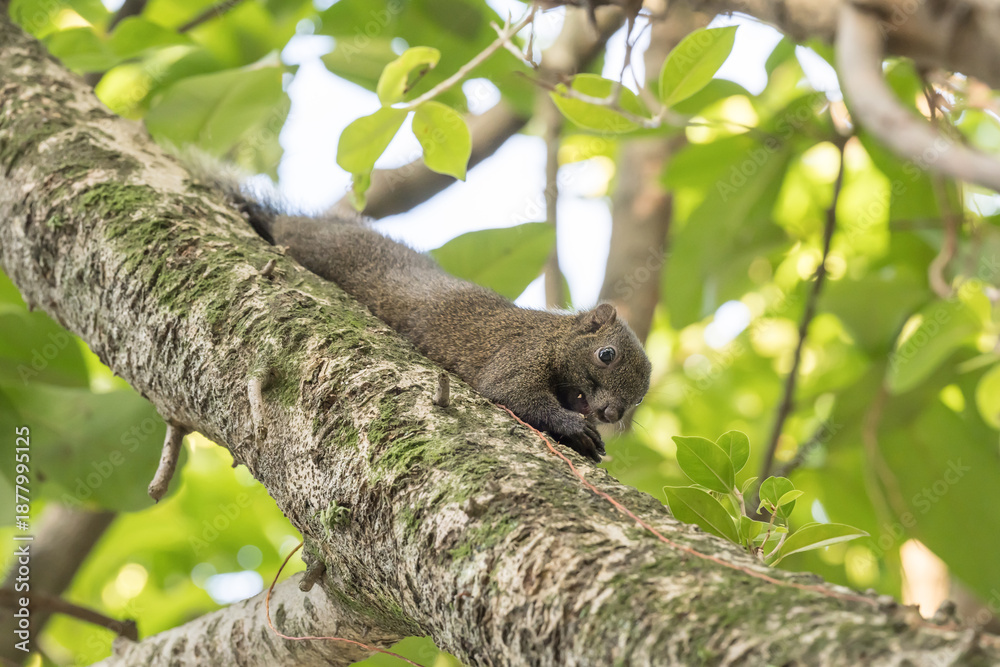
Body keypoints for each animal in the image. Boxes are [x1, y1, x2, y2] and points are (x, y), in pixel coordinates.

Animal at [208, 169, 652, 462]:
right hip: (314, 244)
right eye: (606, 355)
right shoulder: (520, 353)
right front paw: (576, 428)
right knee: (283, 227)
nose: (611, 413)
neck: (556, 334)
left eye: (638, 400)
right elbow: (513, 393)